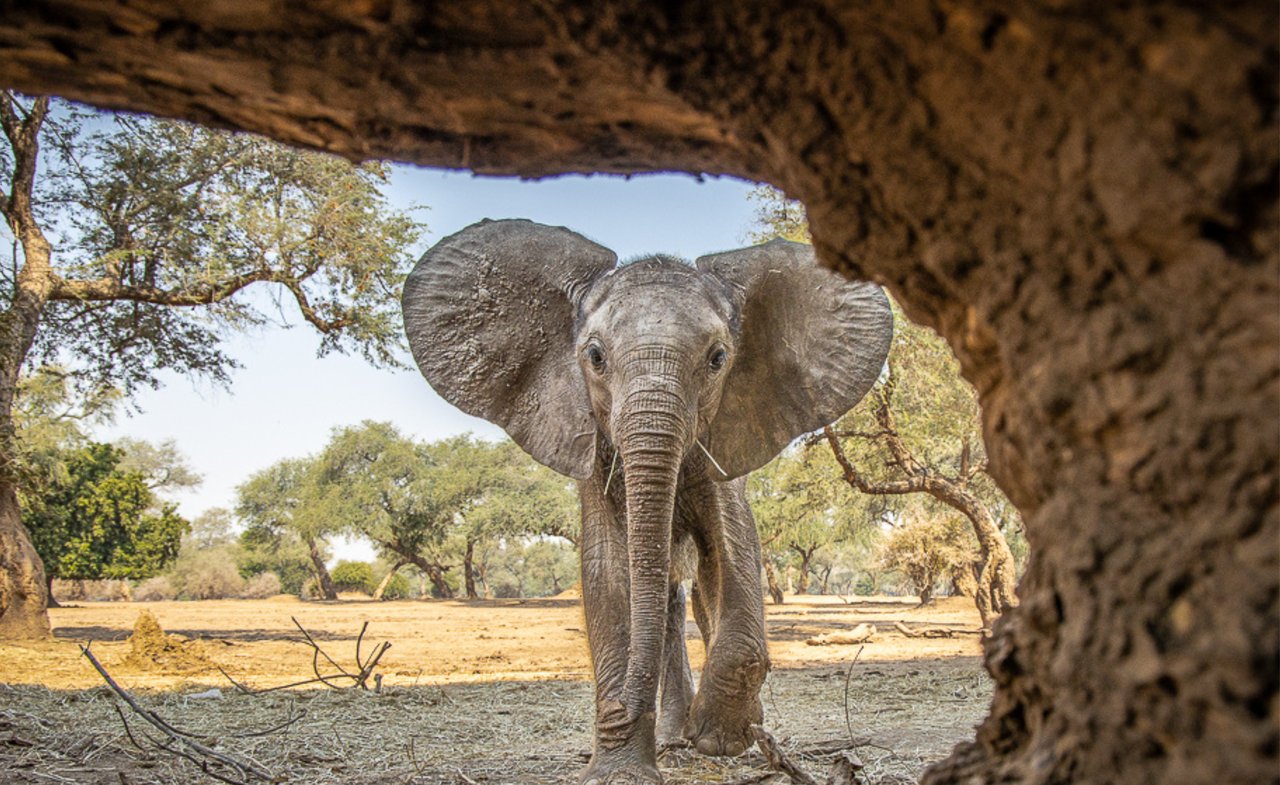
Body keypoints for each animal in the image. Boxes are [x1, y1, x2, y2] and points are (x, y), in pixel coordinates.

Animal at [402, 219, 892, 784]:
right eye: (594, 357)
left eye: (718, 359)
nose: (625, 710)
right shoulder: (595, 452)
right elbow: (609, 572)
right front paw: (621, 770)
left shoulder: (724, 448)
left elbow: (732, 552)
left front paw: (718, 737)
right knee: (668, 597)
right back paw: (672, 735)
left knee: (695, 591)